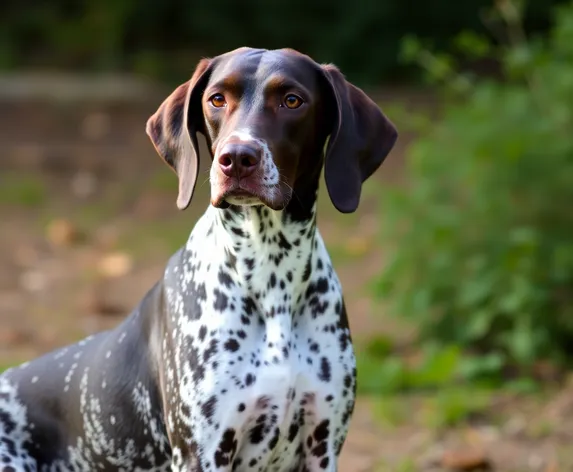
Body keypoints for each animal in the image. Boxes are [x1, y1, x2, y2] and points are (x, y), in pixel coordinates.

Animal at [0, 46, 398, 470]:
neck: (271, 270)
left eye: (292, 100)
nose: (236, 157)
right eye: (217, 99)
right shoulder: (202, 452)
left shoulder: (321, 444)